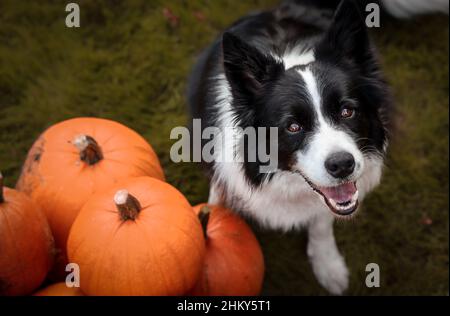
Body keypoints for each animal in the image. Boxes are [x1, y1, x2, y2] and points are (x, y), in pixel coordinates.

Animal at [186, 0, 442, 294]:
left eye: (347, 111)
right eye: (293, 126)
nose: (342, 165)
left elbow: (321, 222)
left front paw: (328, 265)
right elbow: (218, 196)